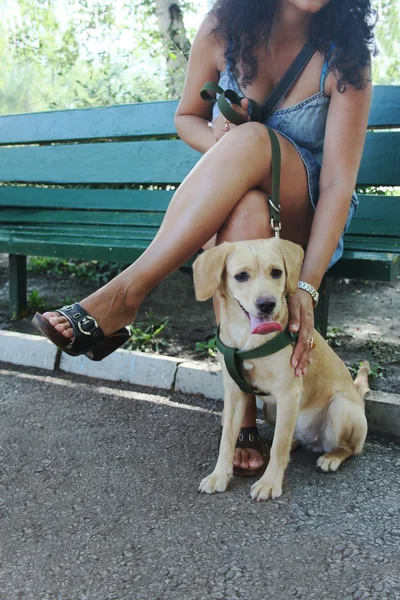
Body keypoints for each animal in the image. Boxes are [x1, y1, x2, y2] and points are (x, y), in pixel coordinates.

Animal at [194, 239, 368, 502]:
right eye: (241, 276)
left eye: (276, 272)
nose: (267, 304)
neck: (247, 338)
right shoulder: (234, 392)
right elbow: (227, 440)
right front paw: (219, 476)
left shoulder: (289, 393)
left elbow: (278, 446)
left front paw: (269, 483)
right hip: (271, 410)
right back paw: (297, 443)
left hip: (340, 407)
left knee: (349, 448)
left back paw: (331, 457)